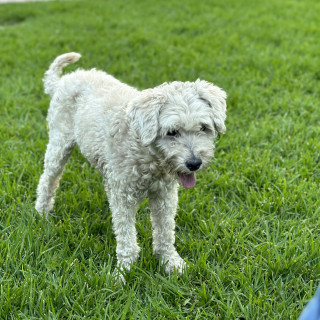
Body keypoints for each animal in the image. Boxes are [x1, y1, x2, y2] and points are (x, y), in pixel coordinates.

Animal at [35, 51, 228, 276]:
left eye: (204, 128)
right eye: (172, 132)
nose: (194, 163)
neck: (145, 151)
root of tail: (62, 81)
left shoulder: (164, 195)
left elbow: (165, 232)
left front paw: (171, 262)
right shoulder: (123, 196)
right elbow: (127, 239)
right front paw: (123, 272)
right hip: (59, 142)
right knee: (48, 179)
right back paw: (41, 212)